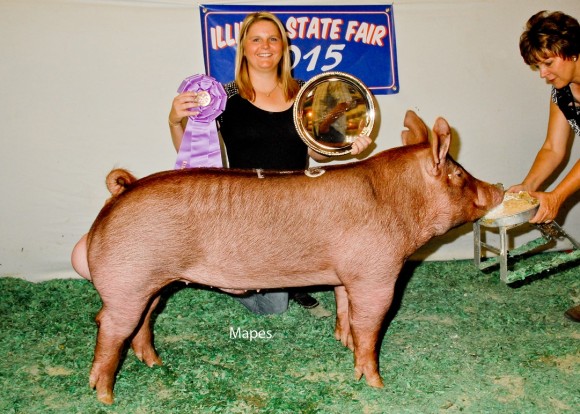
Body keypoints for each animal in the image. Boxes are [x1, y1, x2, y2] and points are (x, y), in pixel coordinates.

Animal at [85, 111, 502, 404]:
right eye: (458, 175)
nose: (497, 188)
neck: (398, 202)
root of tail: (122, 191)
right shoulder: (378, 273)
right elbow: (370, 324)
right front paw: (376, 383)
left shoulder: (345, 275)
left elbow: (345, 308)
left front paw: (342, 342)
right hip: (128, 280)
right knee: (110, 327)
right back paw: (105, 397)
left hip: (152, 283)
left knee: (143, 322)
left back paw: (155, 364)